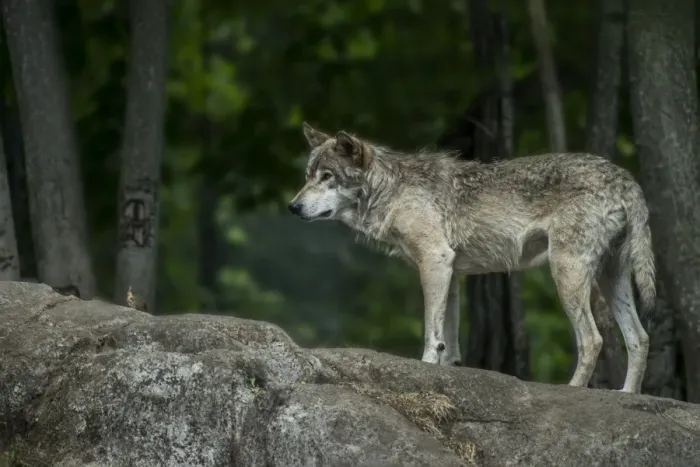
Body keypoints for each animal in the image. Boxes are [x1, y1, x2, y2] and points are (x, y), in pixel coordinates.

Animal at [288, 122, 655, 393]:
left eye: (327, 177)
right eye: (307, 176)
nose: (292, 207)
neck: (392, 190)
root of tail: (624, 177)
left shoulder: (434, 261)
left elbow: (431, 331)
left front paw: (425, 366)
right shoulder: (451, 273)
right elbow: (448, 340)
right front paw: (449, 371)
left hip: (567, 272)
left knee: (593, 339)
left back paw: (573, 389)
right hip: (611, 280)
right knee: (640, 338)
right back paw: (627, 396)